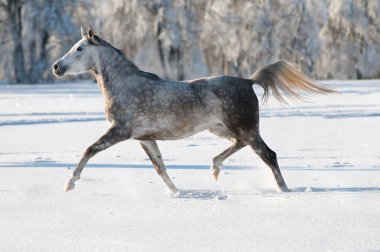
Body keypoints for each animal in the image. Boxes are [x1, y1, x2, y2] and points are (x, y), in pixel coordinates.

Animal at [52, 26, 332, 193]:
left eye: (79, 48)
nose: (56, 67)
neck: (126, 86)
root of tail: (247, 81)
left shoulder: (119, 131)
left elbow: (89, 151)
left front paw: (69, 184)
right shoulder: (144, 138)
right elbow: (160, 167)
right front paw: (177, 193)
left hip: (244, 128)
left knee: (268, 154)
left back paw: (284, 190)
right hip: (221, 129)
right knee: (240, 145)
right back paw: (215, 168)